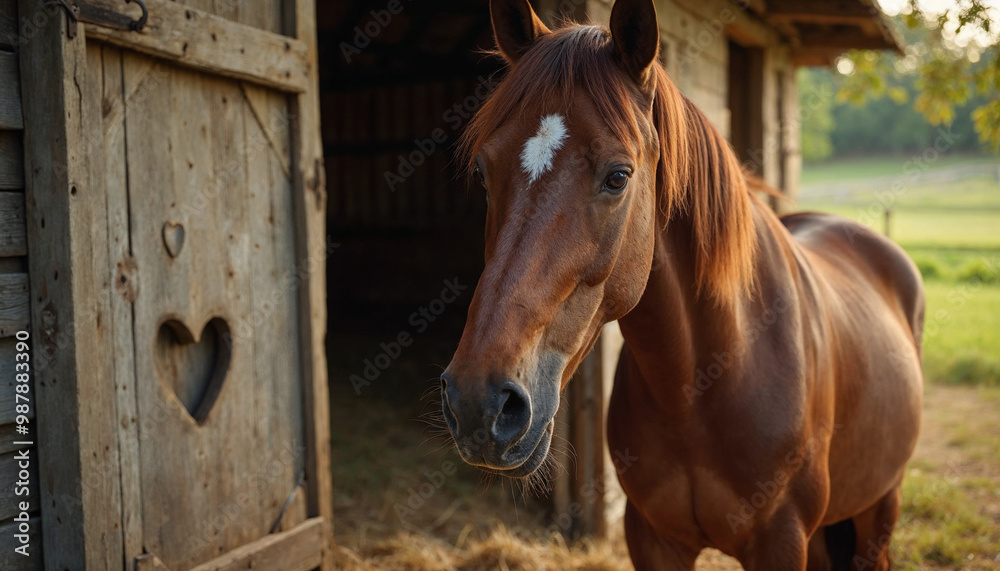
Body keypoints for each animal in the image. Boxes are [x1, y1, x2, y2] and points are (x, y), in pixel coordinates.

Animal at [439, 0, 924, 569]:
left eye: (618, 176)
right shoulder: (652, 537)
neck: (701, 387)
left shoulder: (781, 541)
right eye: (483, 172)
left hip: (880, 507)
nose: (479, 403)